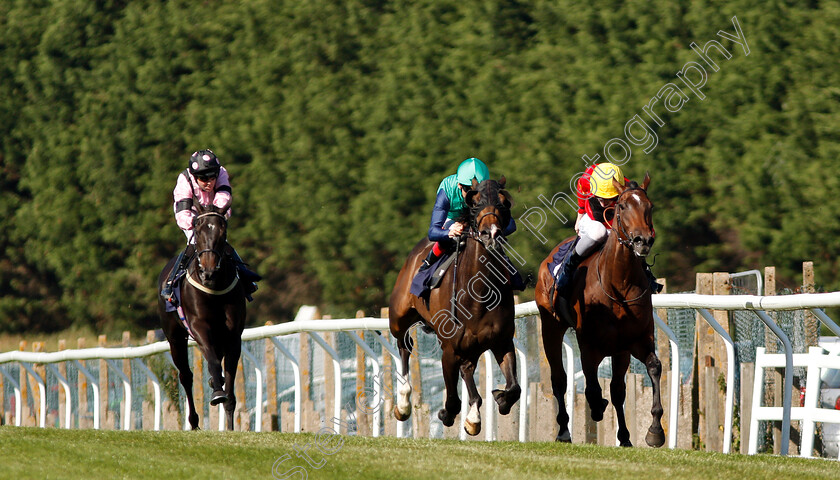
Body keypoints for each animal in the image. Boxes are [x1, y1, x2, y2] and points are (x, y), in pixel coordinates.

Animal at [157, 201, 244, 430]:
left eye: (223, 231)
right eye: (197, 229)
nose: (208, 271)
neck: (214, 287)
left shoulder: (233, 336)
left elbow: (229, 379)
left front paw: (230, 425)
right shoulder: (199, 327)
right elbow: (212, 362)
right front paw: (217, 393)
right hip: (175, 338)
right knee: (186, 376)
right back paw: (194, 421)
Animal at [390, 175, 520, 436]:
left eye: (504, 203)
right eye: (475, 203)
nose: (491, 233)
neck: (479, 293)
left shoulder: (502, 341)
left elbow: (514, 387)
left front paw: (498, 400)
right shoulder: (449, 350)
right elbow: (451, 400)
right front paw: (447, 414)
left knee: (468, 369)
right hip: (398, 318)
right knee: (404, 346)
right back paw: (404, 401)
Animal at [540, 174, 664, 448]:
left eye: (650, 206)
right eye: (622, 206)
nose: (642, 240)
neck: (619, 283)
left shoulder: (633, 341)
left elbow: (651, 369)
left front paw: (653, 431)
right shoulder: (588, 343)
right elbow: (591, 384)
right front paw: (596, 407)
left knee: (616, 389)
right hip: (550, 327)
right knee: (559, 379)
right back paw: (563, 431)